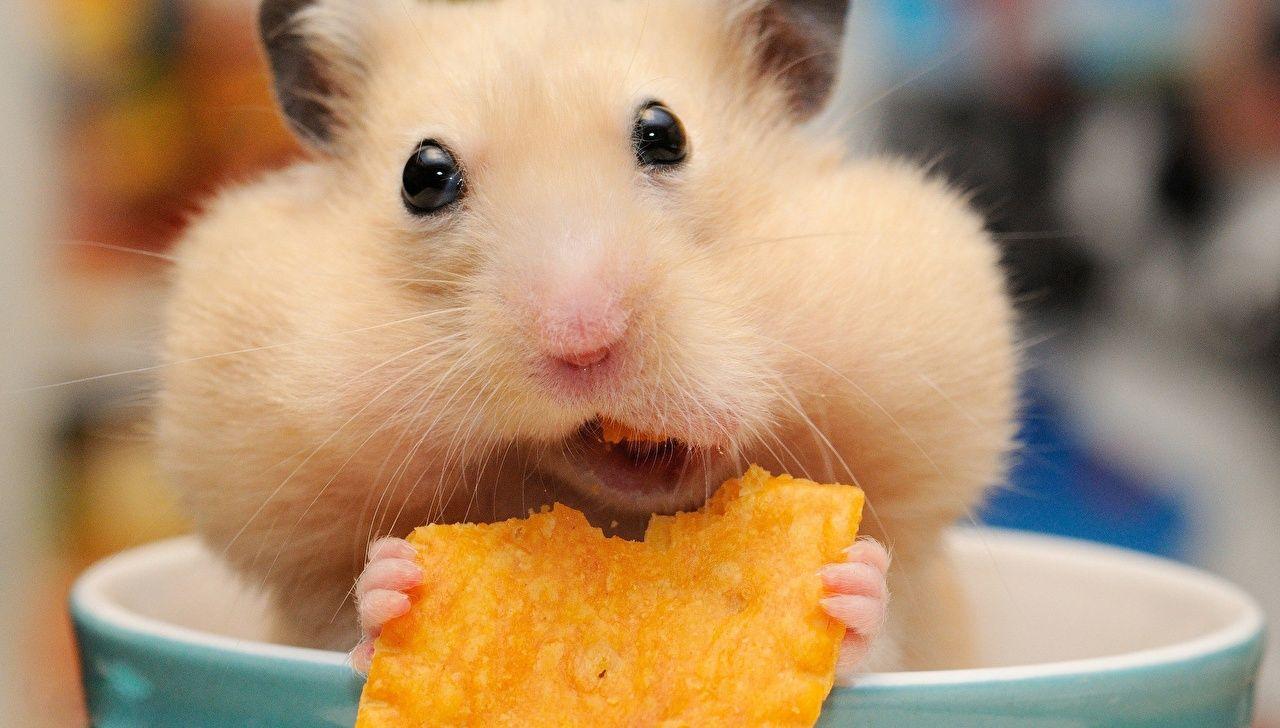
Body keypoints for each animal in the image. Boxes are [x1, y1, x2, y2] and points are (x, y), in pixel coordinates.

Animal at [157, 0, 1018, 676]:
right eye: (423, 175)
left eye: (664, 133)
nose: (580, 339)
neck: (624, 518)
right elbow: (341, 624)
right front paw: (394, 588)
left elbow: (884, 635)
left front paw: (846, 585)